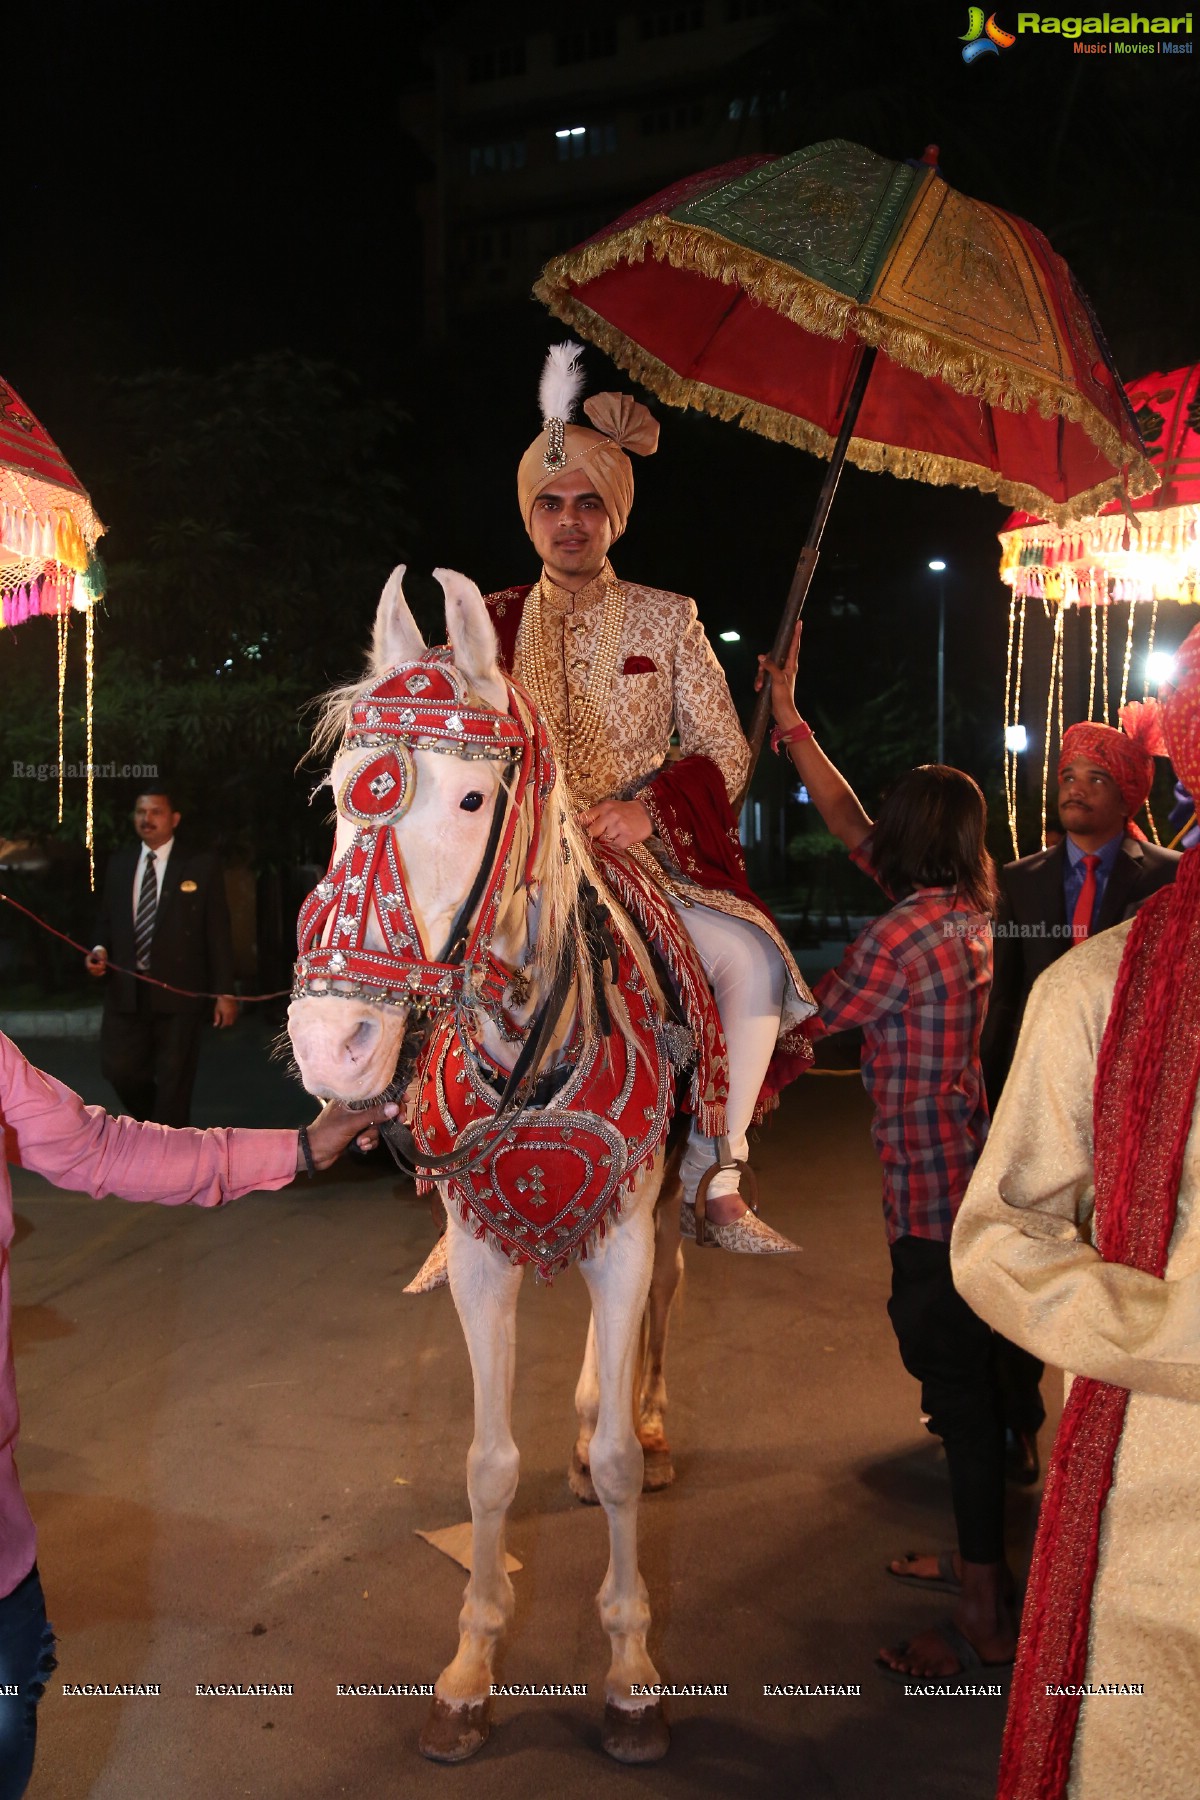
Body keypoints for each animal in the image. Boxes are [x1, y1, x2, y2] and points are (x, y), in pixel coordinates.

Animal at [287, 561, 705, 1756]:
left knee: (665, 1300)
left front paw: (632, 1673)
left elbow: (616, 1467)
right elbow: (485, 1468)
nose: (332, 1045)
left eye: (474, 802)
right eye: (343, 793)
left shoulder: (620, 1234)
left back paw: (650, 1422)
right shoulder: (480, 1253)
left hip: (664, 1205)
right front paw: (471, 1667)